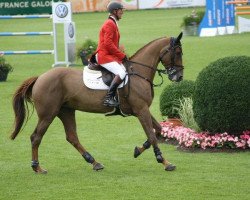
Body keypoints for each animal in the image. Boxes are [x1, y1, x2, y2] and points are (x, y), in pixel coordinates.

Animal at [10, 32, 184, 173]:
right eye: (178, 52)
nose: (179, 77)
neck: (138, 73)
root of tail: (40, 77)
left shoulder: (141, 110)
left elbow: (158, 130)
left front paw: (138, 150)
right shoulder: (141, 110)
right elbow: (152, 135)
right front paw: (164, 161)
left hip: (66, 111)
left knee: (72, 137)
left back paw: (94, 162)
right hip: (48, 114)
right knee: (36, 137)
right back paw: (37, 167)